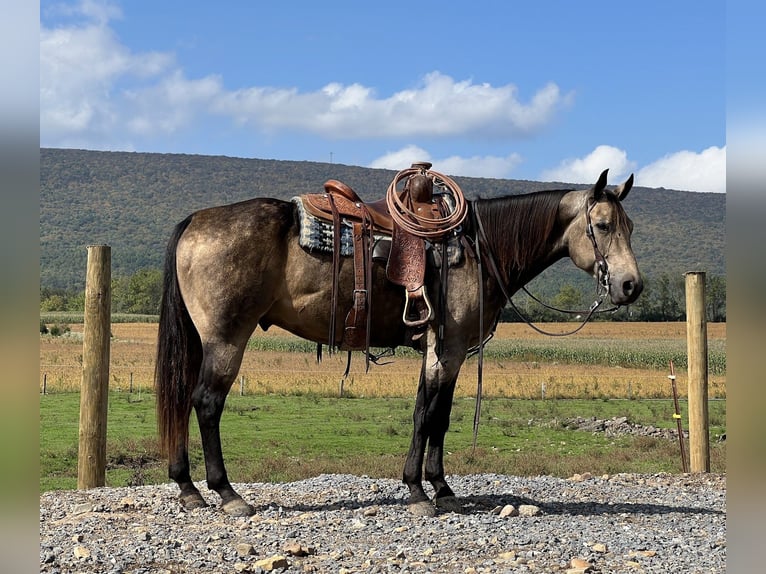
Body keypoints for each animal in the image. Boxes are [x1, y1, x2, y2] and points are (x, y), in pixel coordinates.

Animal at [154, 169, 640, 520]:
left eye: (630, 226)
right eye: (602, 225)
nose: (631, 285)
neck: (480, 248)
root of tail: (197, 220)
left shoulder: (447, 352)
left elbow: (437, 415)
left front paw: (441, 488)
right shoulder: (445, 349)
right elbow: (427, 415)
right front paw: (419, 492)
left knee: (182, 397)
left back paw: (188, 488)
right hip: (226, 339)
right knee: (206, 403)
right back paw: (227, 493)